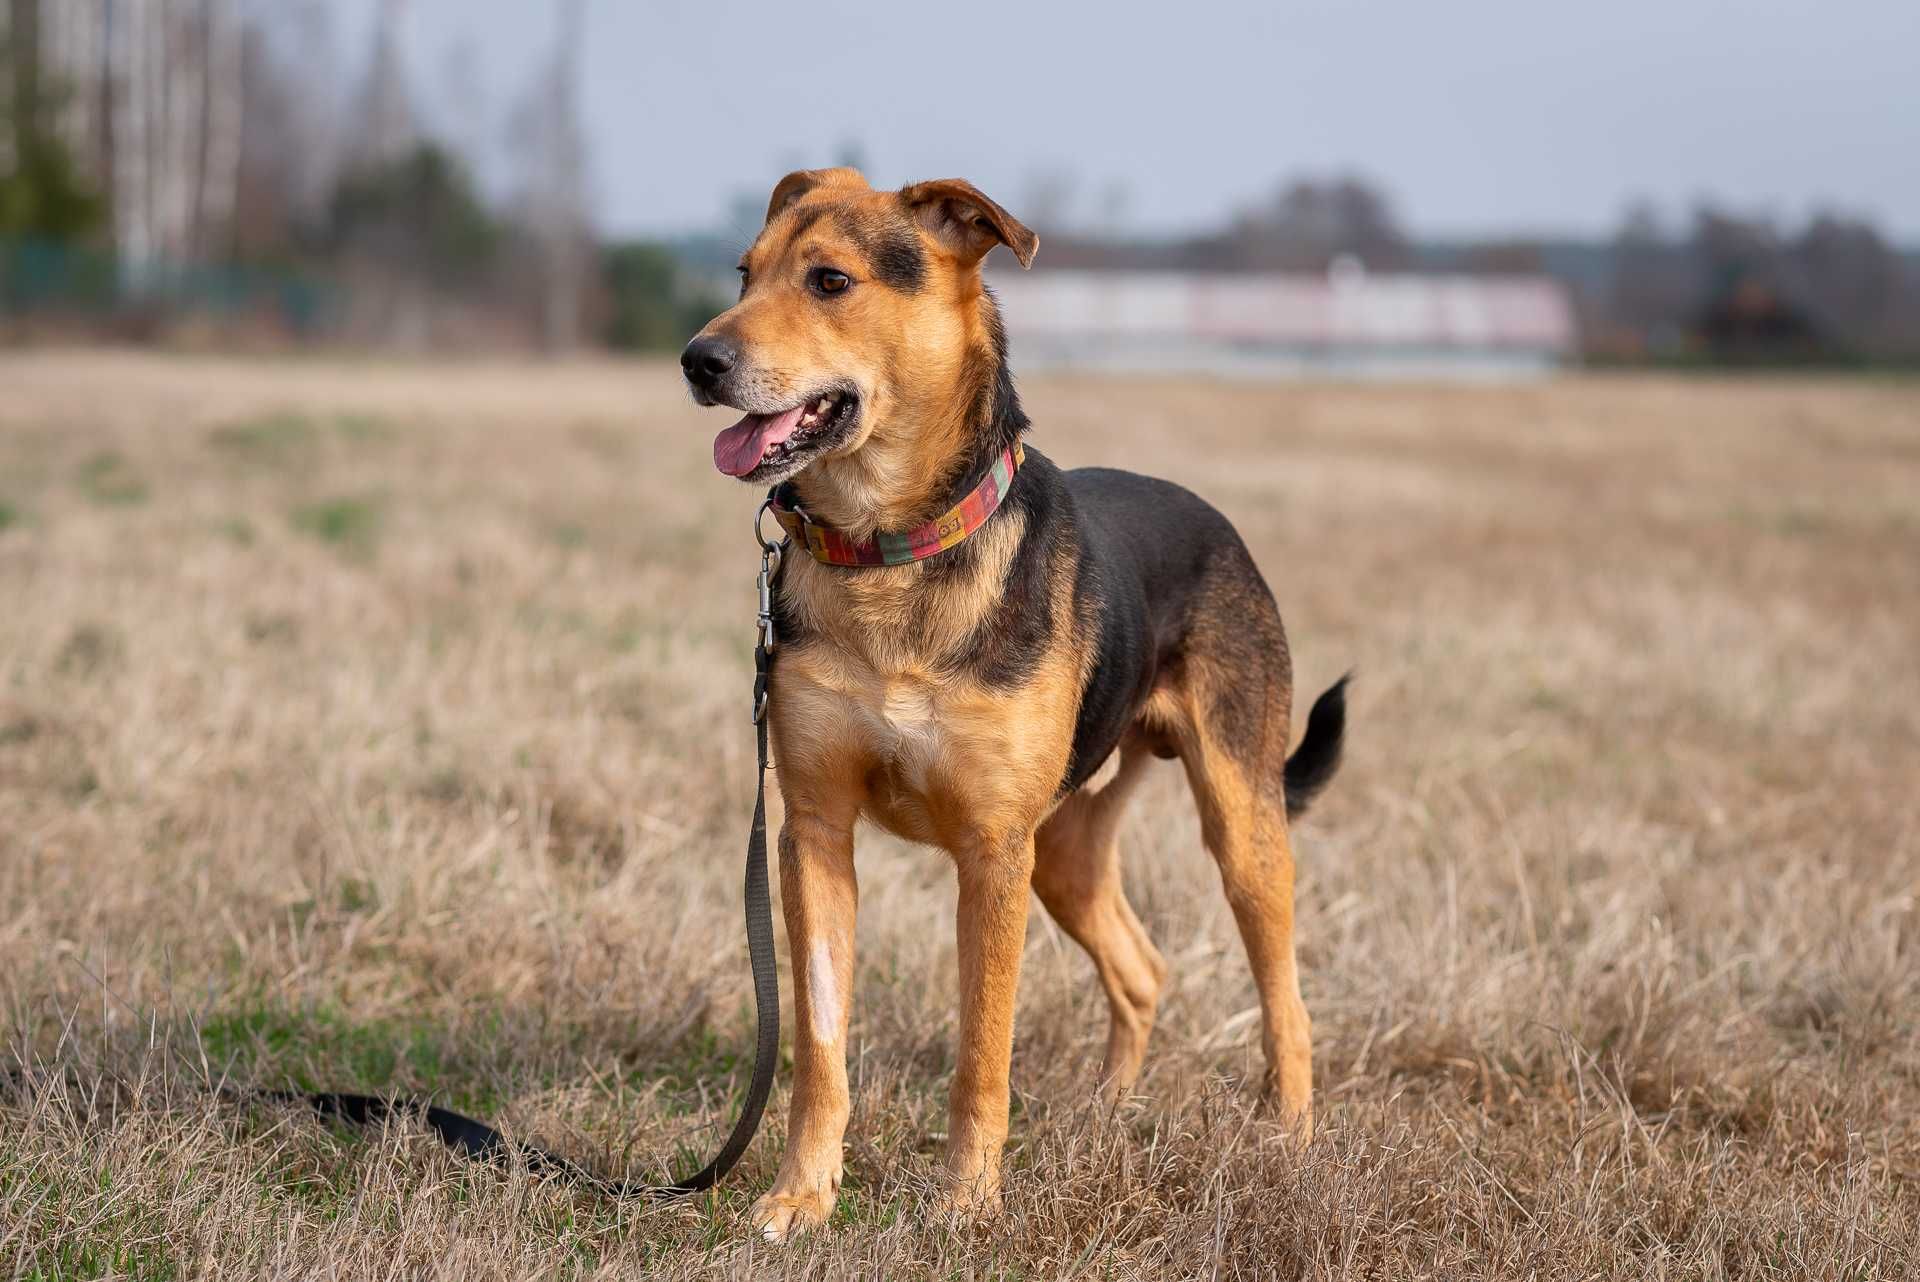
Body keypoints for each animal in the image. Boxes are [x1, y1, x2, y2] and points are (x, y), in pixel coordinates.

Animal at [683, 165, 1344, 1235]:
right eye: (745, 273)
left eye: (829, 281)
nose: (698, 361)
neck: (892, 548)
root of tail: (1219, 522)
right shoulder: (814, 830)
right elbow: (819, 1043)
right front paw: (801, 1196)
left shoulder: (993, 850)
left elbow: (981, 1049)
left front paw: (965, 1201)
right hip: (1067, 848)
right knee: (1143, 968)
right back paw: (1108, 1109)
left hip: (1241, 823)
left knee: (1283, 989)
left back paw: (1287, 1133)